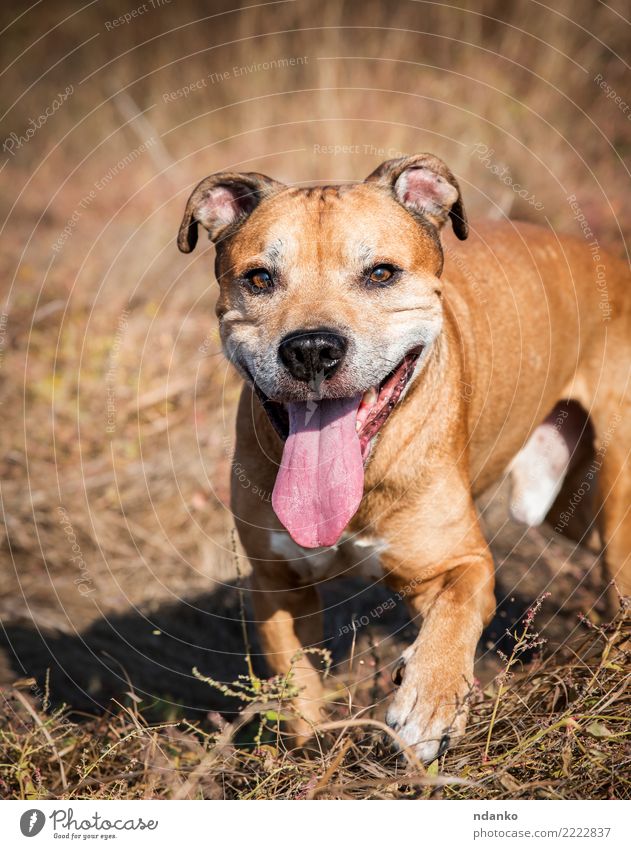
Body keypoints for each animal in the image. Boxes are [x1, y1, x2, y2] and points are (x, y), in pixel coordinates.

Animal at [178, 154, 631, 760]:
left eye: (380, 274)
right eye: (258, 279)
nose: (311, 349)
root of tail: (610, 261)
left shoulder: (460, 562)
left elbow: (454, 615)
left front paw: (428, 703)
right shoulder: (277, 583)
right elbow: (296, 682)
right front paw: (310, 750)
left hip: (614, 499)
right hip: (570, 505)